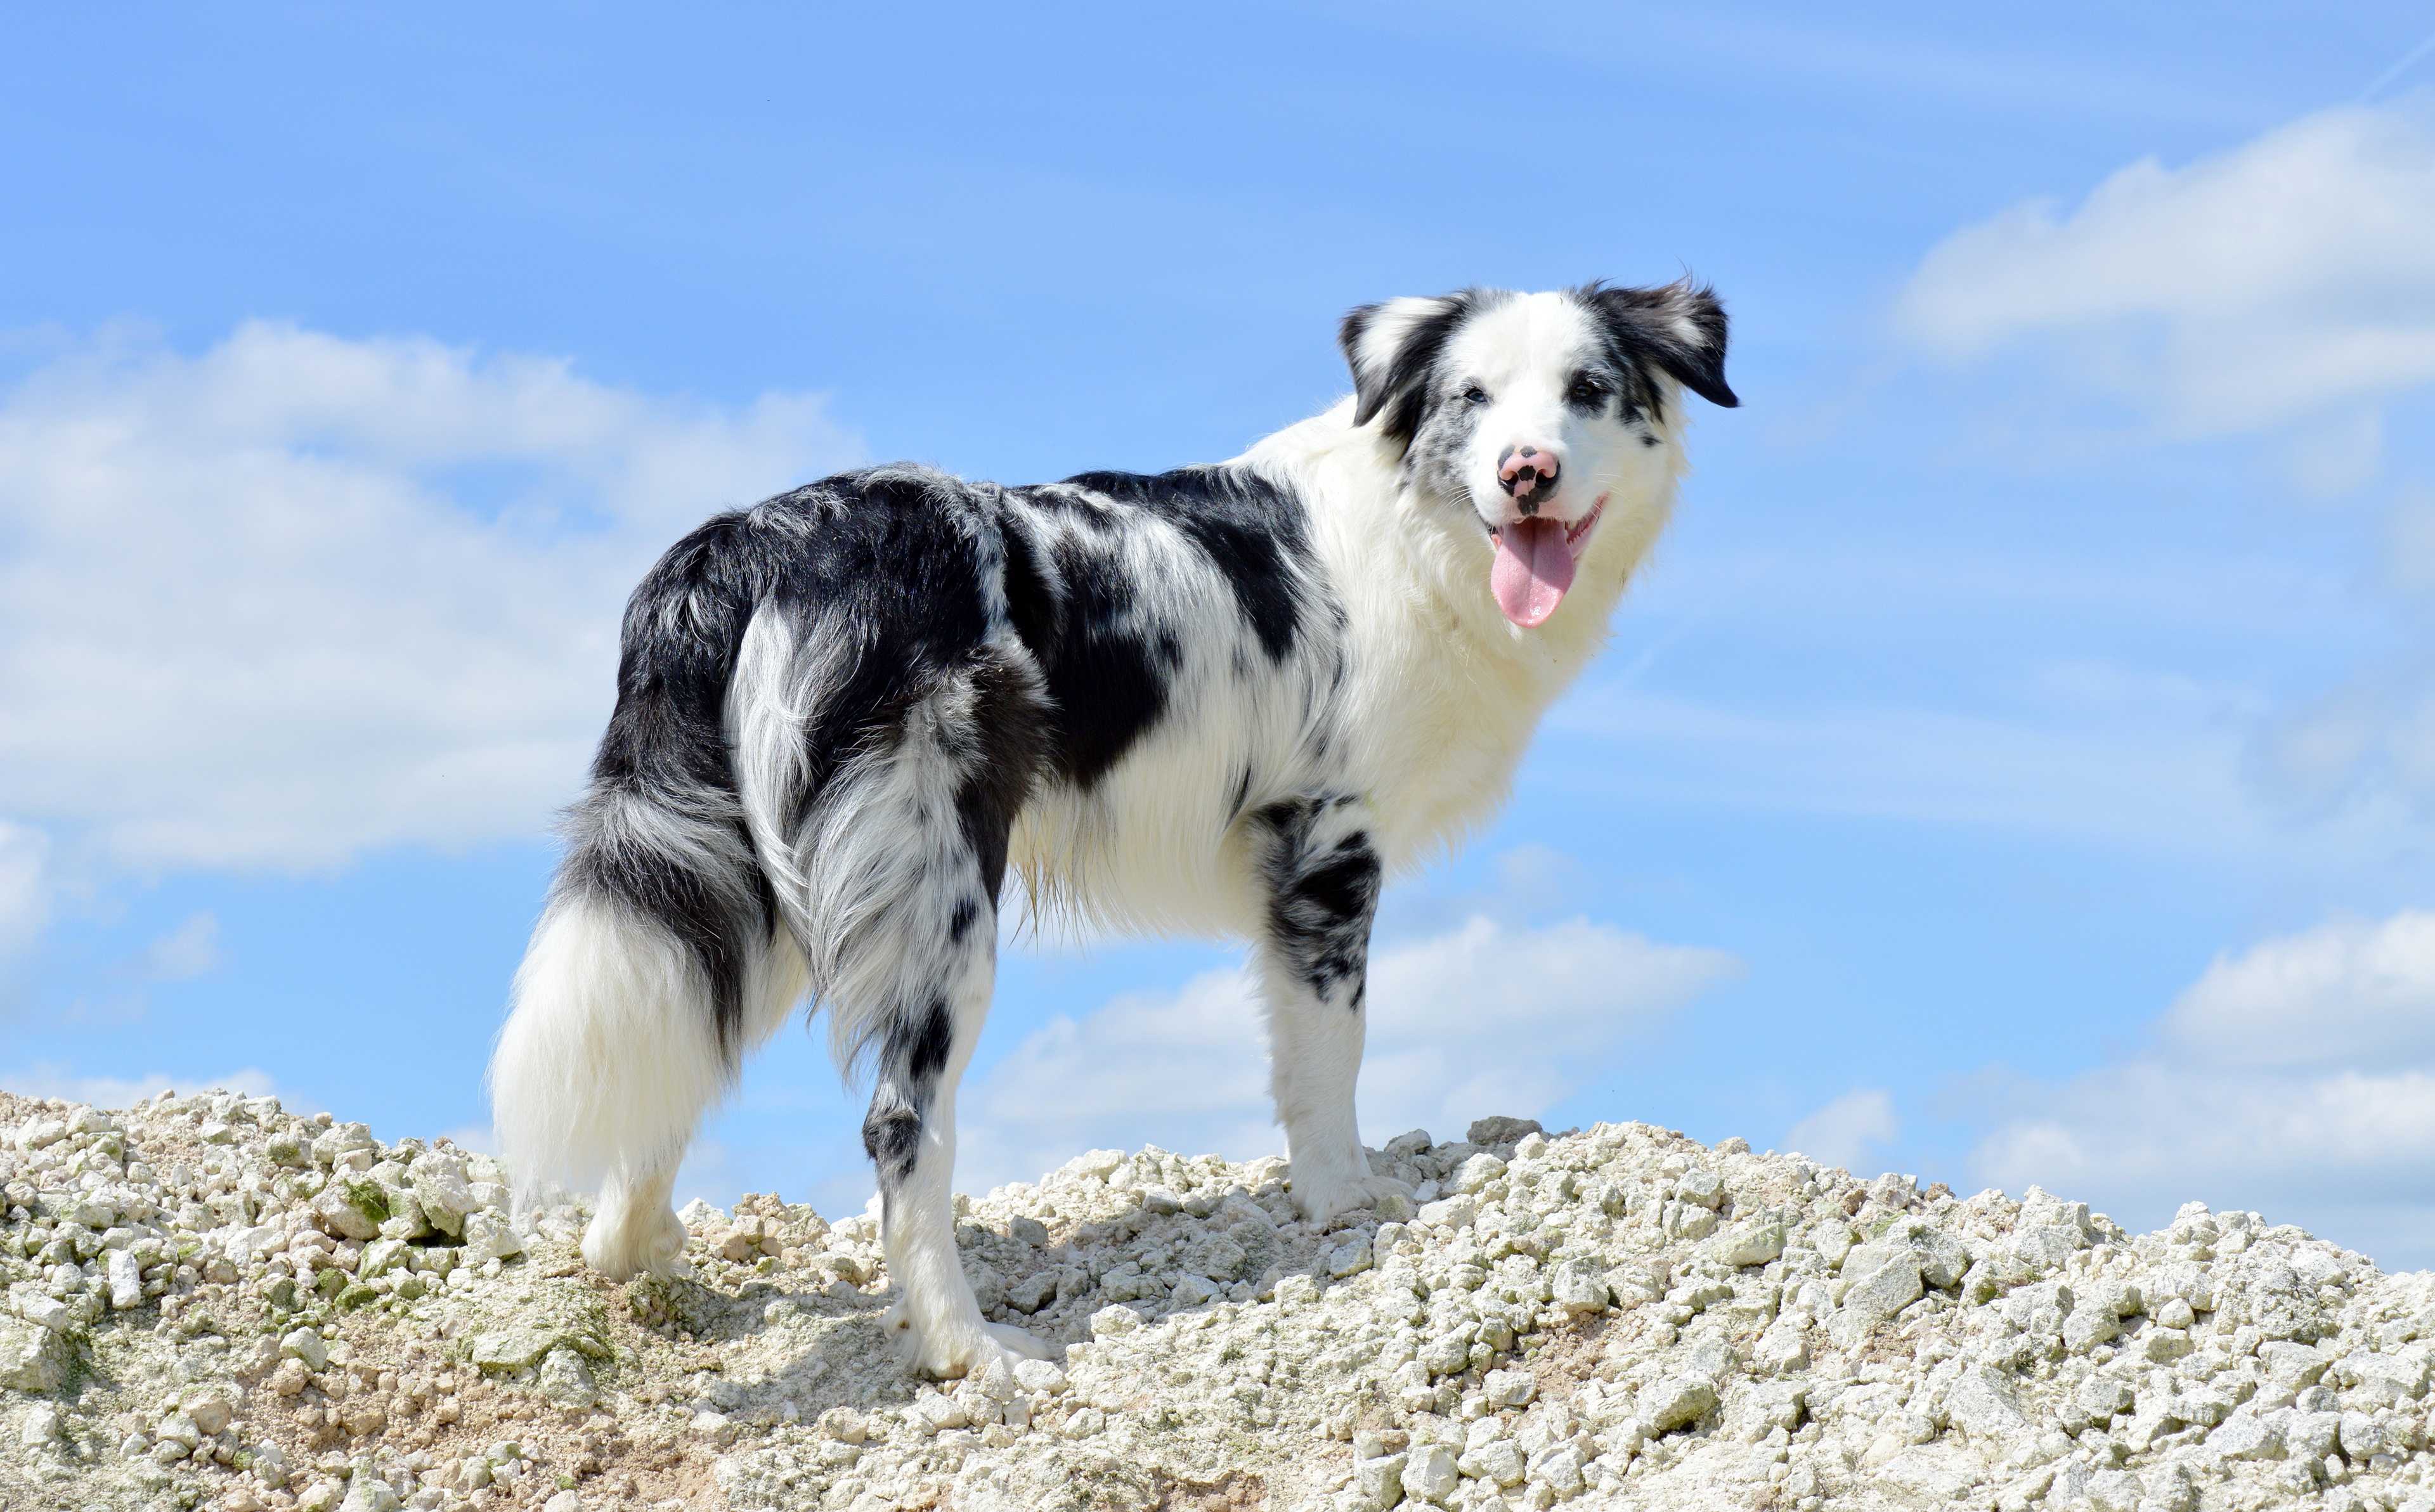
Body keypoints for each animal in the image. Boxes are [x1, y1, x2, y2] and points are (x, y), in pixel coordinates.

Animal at [489, 277, 1734, 1373]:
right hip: (943, 907)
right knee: (901, 1124)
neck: (1415, 531)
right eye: (1472, 397)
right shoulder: (1325, 843)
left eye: (1587, 389)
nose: (1528, 473)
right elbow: (1329, 1058)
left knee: (680, 1037)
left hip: (757, 874)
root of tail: (749, 541)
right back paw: (970, 1351)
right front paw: (1346, 1201)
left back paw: (634, 1251)